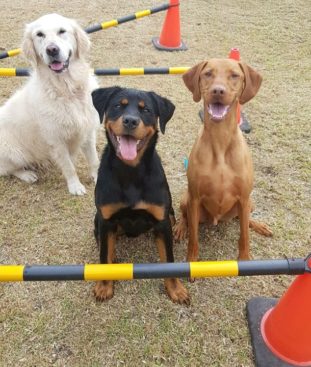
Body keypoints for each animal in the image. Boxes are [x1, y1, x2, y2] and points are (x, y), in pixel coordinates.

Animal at [0, 15, 100, 196]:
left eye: (62, 31)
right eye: (40, 34)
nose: (52, 50)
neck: (67, 89)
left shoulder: (88, 131)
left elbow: (94, 160)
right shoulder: (56, 139)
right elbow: (69, 167)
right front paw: (75, 187)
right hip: (14, 152)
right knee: (7, 170)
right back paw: (27, 175)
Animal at [176, 59, 272, 264]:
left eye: (234, 75)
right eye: (208, 73)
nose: (218, 91)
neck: (220, 140)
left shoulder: (243, 198)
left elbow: (244, 236)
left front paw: (244, 259)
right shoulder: (194, 198)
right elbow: (193, 238)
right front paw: (191, 260)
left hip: (249, 202)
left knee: (244, 219)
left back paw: (258, 225)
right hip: (186, 199)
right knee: (184, 216)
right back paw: (180, 227)